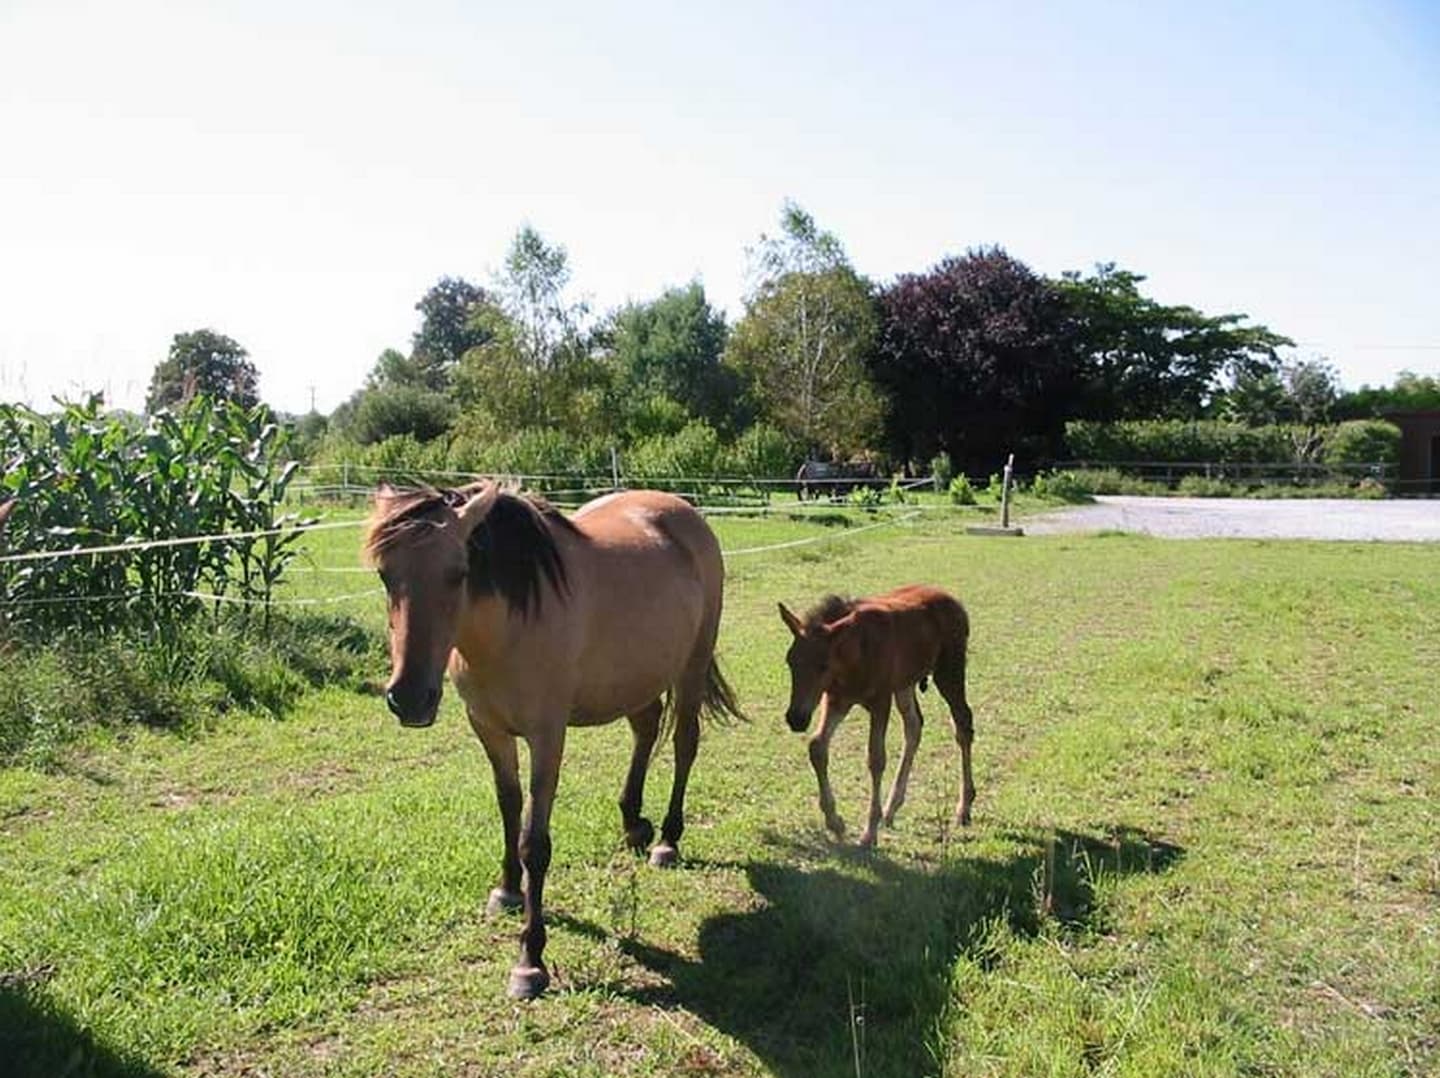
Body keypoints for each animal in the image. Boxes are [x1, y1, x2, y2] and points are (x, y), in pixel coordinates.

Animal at [366, 481, 742, 999]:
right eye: (386, 576)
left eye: (458, 573)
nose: (408, 699)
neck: (506, 628)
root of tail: (682, 511)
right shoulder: (489, 729)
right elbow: (508, 810)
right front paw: (506, 890)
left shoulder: (547, 736)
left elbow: (534, 844)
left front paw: (530, 960)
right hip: (638, 676)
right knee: (645, 730)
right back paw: (633, 823)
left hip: (691, 666)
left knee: (685, 744)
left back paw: (667, 840)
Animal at [777, 585, 975, 847]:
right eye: (790, 661)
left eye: (823, 665)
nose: (796, 718)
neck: (854, 654)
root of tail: (956, 603)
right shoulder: (836, 700)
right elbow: (817, 746)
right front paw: (835, 821)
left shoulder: (881, 701)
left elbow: (876, 758)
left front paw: (869, 832)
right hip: (905, 684)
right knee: (914, 726)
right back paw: (891, 809)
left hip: (949, 670)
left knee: (962, 724)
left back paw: (963, 808)